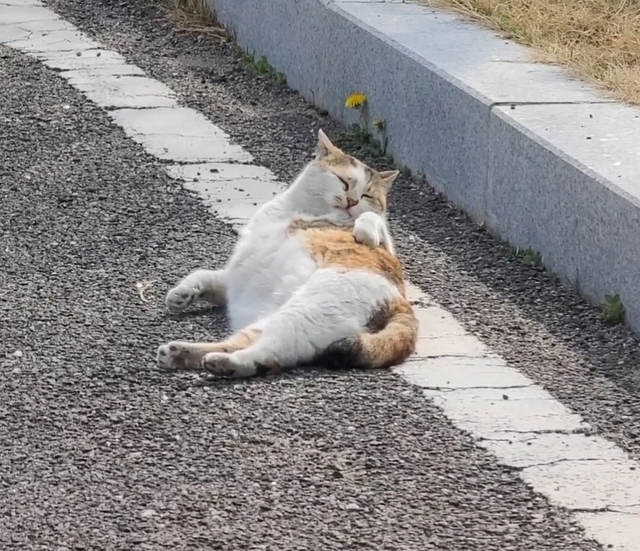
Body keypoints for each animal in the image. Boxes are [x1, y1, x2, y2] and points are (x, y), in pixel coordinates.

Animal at [156, 129, 418, 378]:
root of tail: (401, 302)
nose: (352, 200)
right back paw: (182, 354)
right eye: (343, 181)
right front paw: (182, 294)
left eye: (367, 195)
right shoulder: (235, 275)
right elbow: (203, 274)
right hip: (271, 320)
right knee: (244, 344)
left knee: (268, 354)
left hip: (305, 312)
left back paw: (226, 364)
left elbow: (372, 221)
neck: (302, 211)